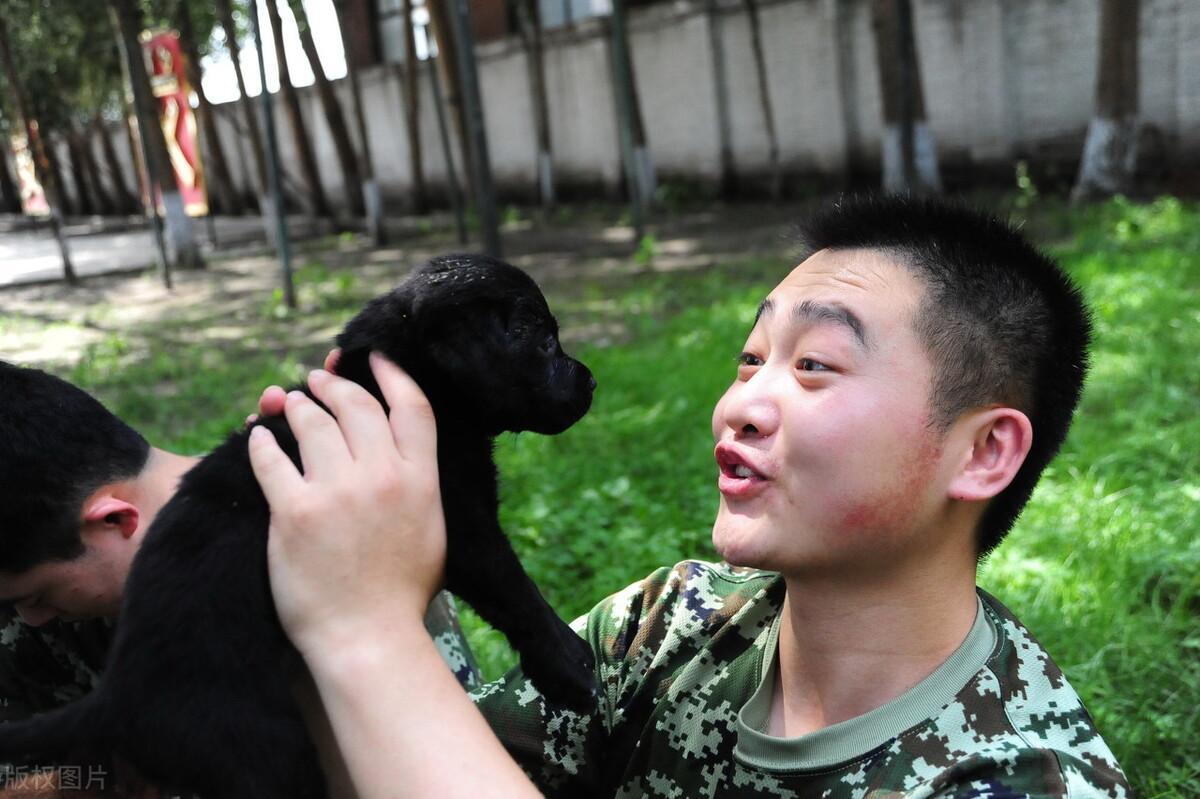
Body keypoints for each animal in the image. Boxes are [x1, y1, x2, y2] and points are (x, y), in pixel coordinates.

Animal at [0, 255, 600, 796]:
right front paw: (569, 663)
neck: (398, 388)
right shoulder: (463, 525)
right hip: (265, 750)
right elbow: (516, 593)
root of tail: (116, 696)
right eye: (544, 343)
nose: (592, 382)